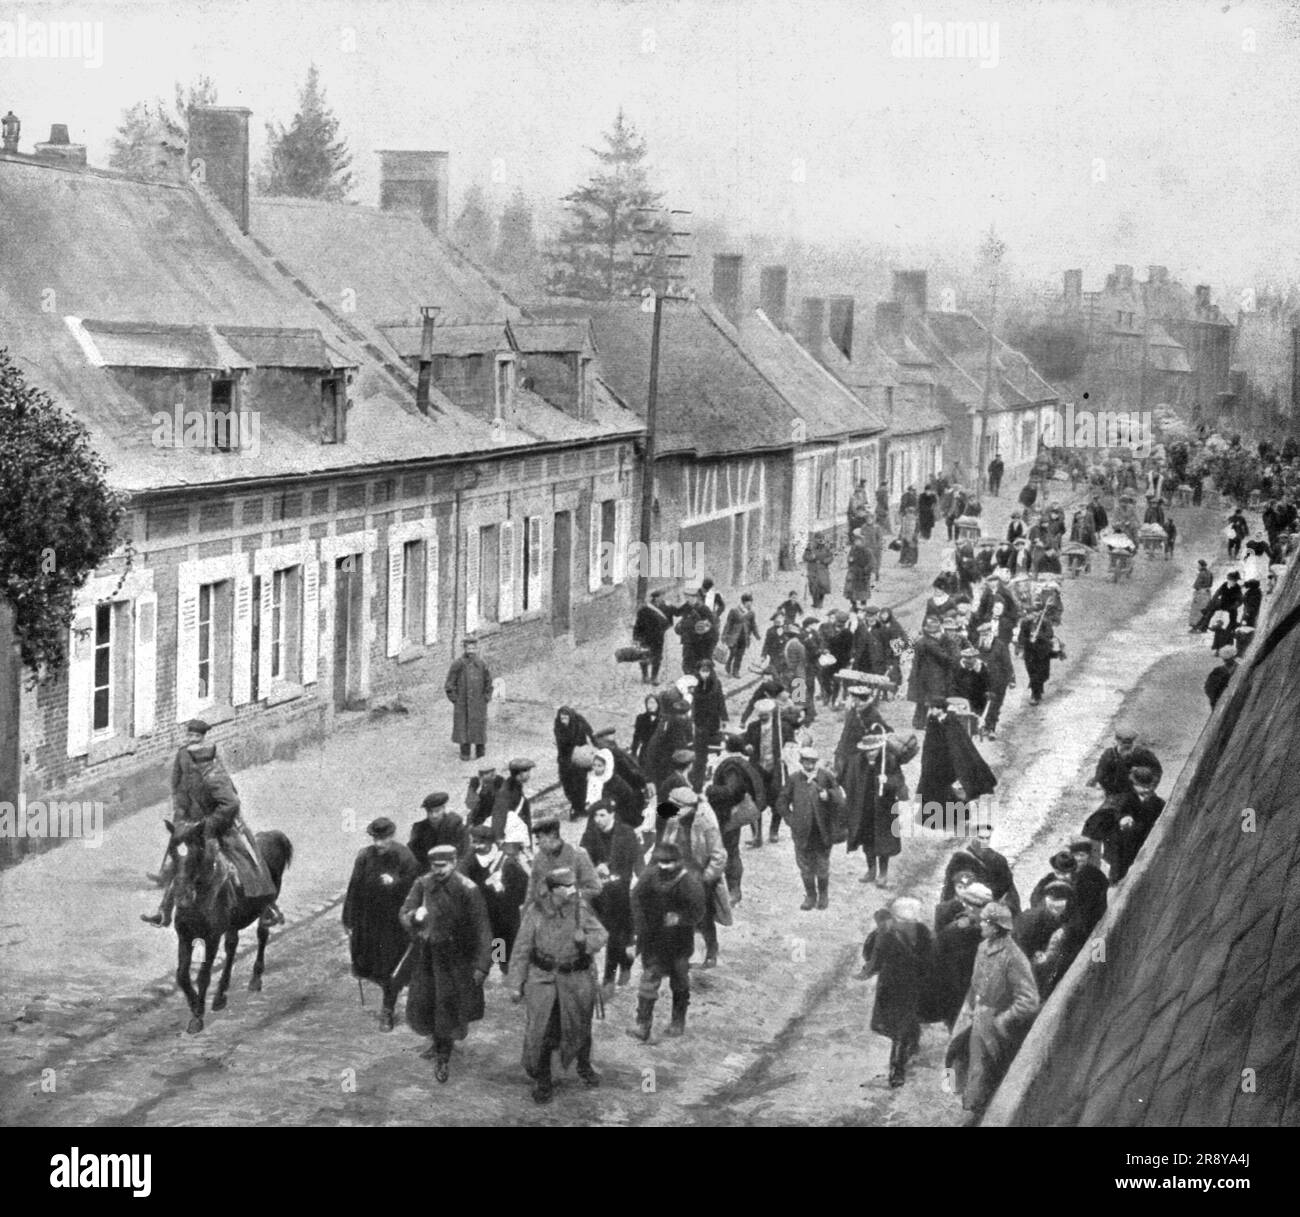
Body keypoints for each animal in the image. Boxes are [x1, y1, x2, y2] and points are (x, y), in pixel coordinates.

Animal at [163, 821, 293, 1029]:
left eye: (196, 853)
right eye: (173, 852)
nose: (182, 896)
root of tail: (274, 836)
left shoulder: (212, 939)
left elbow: (203, 975)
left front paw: (198, 1015)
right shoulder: (185, 936)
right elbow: (182, 975)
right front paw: (195, 1005)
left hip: (264, 905)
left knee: (261, 934)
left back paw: (255, 978)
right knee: (232, 945)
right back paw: (220, 996)